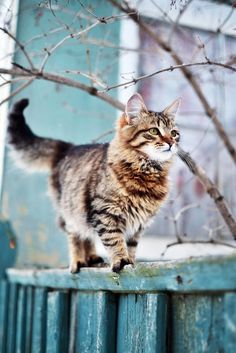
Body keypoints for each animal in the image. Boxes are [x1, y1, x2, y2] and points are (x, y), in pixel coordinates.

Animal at [7, 93, 181, 272]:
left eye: (174, 133)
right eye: (154, 131)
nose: (171, 142)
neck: (148, 171)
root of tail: (69, 148)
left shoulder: (139, 224)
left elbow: (131, 246)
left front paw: (131, 262)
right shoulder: (105, 212)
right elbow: (114, 240)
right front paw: (121, 260)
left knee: (87, 236)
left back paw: (92, 258)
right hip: (72, 211)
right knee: (76, 236)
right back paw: (78, 261)